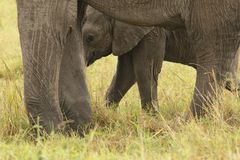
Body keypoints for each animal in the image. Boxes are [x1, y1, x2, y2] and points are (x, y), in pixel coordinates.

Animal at [80, 0, 240, 118]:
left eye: (90, 38)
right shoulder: (125, 34)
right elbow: (125, 73)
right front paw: (108, 112)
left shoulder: (151, 31)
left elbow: (143, 69)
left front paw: (153, 118)